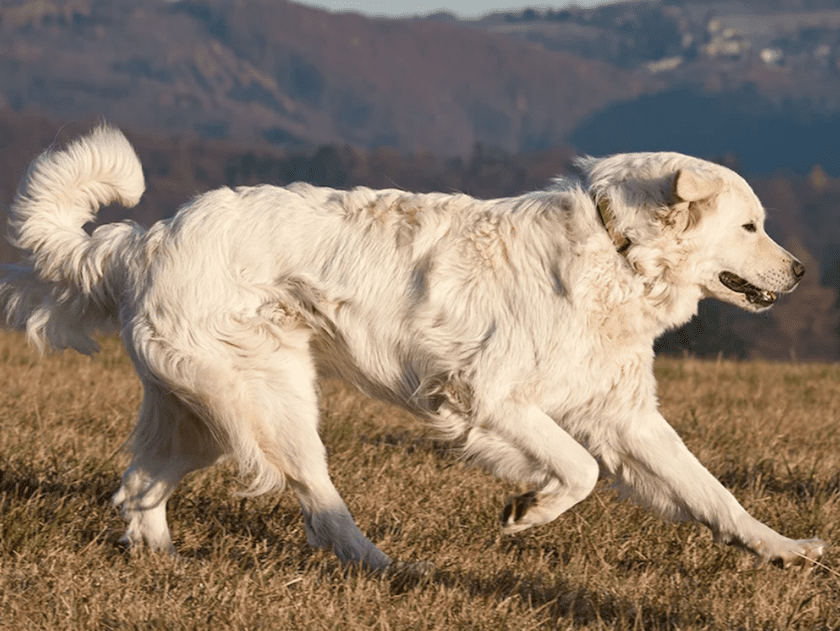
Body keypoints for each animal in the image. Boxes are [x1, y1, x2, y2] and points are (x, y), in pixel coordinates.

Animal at [0, 126, 828, 572]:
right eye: (751, 226)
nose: (800, 271)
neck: (616, 251)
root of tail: (145, 237)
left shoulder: (627, 417)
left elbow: (712, 492)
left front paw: (782, 547)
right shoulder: (486, 396)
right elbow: (579, 469)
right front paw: (529, 508)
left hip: (204, 413)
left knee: (139, 486)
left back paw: (163, 559)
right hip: (272, 400)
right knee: (319, 502)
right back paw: (387, 567)